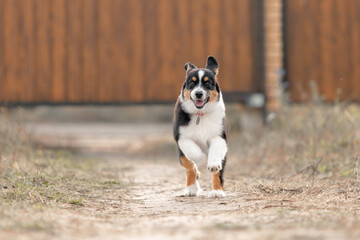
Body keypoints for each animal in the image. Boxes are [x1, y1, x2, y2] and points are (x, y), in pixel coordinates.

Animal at [172, 55, 228, 197]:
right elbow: (193, 154)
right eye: (192, 83)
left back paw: (216, 191)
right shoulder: (182, 138)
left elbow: (216, 153)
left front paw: (212, 164)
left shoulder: (220, 137)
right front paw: (203, 160)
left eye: (208, 83)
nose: (198, 93)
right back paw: (191, 188)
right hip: (181, 153)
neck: (200, 115)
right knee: (189, 165)